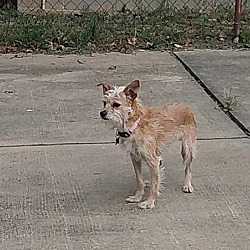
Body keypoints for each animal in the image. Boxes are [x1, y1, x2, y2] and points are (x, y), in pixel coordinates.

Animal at [97, 80, 197, 209]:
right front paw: (137, 197)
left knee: (187, 168)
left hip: (187, 148)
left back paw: (187, 185)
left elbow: (154, 185)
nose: (102, 113)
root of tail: (185, 106)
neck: (134, 125)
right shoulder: (135, 158)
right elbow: (139, 180)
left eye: (116, 105)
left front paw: (149, 202)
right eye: (104, 103)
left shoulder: (152, 159)